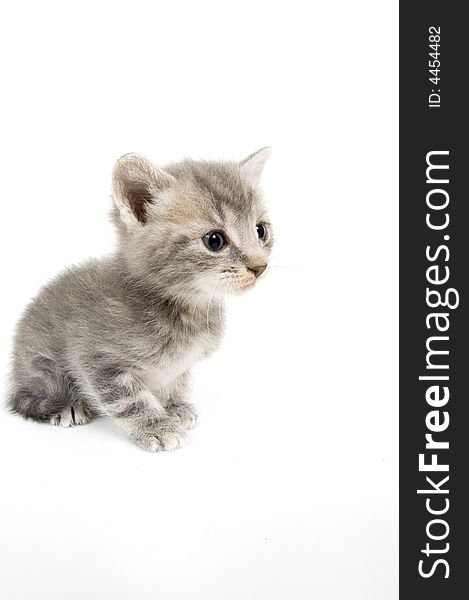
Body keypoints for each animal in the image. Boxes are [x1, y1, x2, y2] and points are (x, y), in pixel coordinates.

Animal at [6, 149, 270, 450]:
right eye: (214, 240)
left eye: (261, 231)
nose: (260, 266)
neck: (186, 308)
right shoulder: (98, 359)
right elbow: (131, 401)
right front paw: (158, 427)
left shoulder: (177, 368)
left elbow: (173, 381)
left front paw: (172, 407)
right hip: (42, 368)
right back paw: (67, 406)